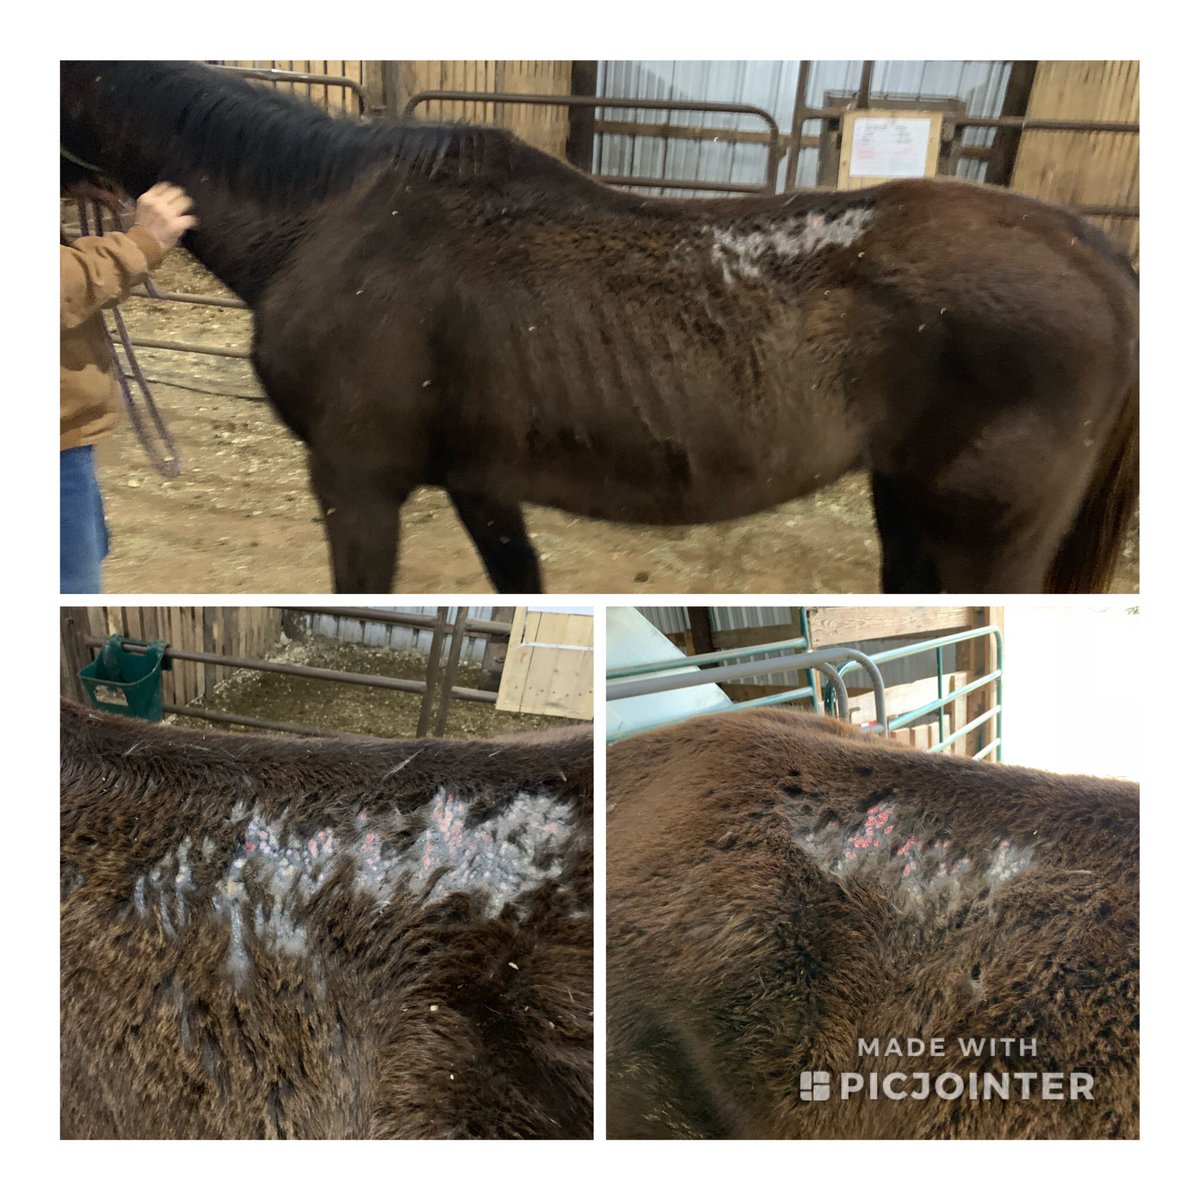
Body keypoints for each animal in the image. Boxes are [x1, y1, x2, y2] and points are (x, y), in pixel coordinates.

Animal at [61, 61, 1139, 594]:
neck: (327, 219)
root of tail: (1083, 245)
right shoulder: (480, 481)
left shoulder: (355, 484)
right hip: (908, 511)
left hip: (985, 537)